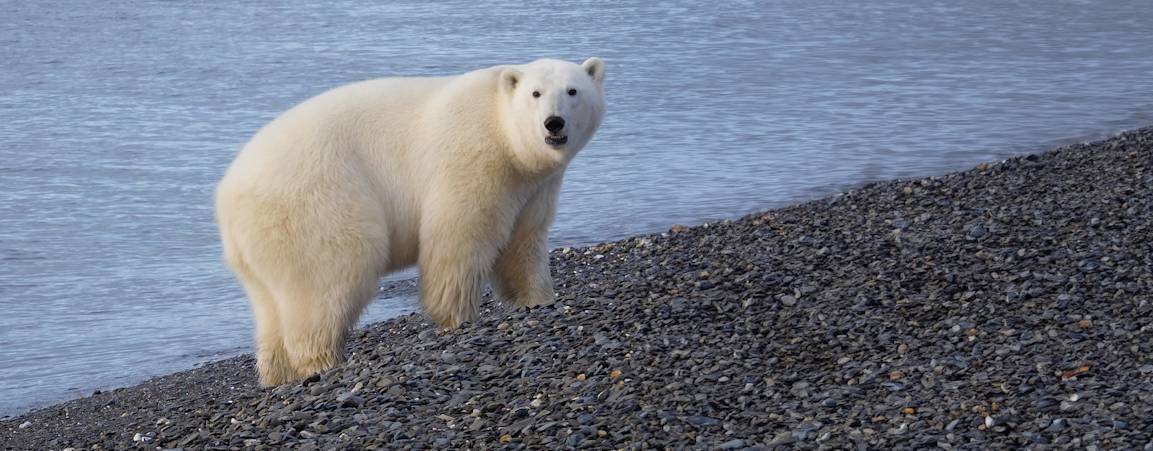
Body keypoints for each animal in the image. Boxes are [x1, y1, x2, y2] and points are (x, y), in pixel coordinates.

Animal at [214, 57, 606, 386]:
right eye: (535, 93)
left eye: (572, 91)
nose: (553, 123)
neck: (505, 136)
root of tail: (227, 195)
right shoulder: (473, 160)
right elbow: (460, 235)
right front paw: (458, 317)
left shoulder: (533, 186)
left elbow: (523, 242)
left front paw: (539, 299)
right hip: (316, 203)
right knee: (333, 273)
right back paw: (323, 361)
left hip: (258, 246)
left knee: (270, 305)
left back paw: (277, 374)